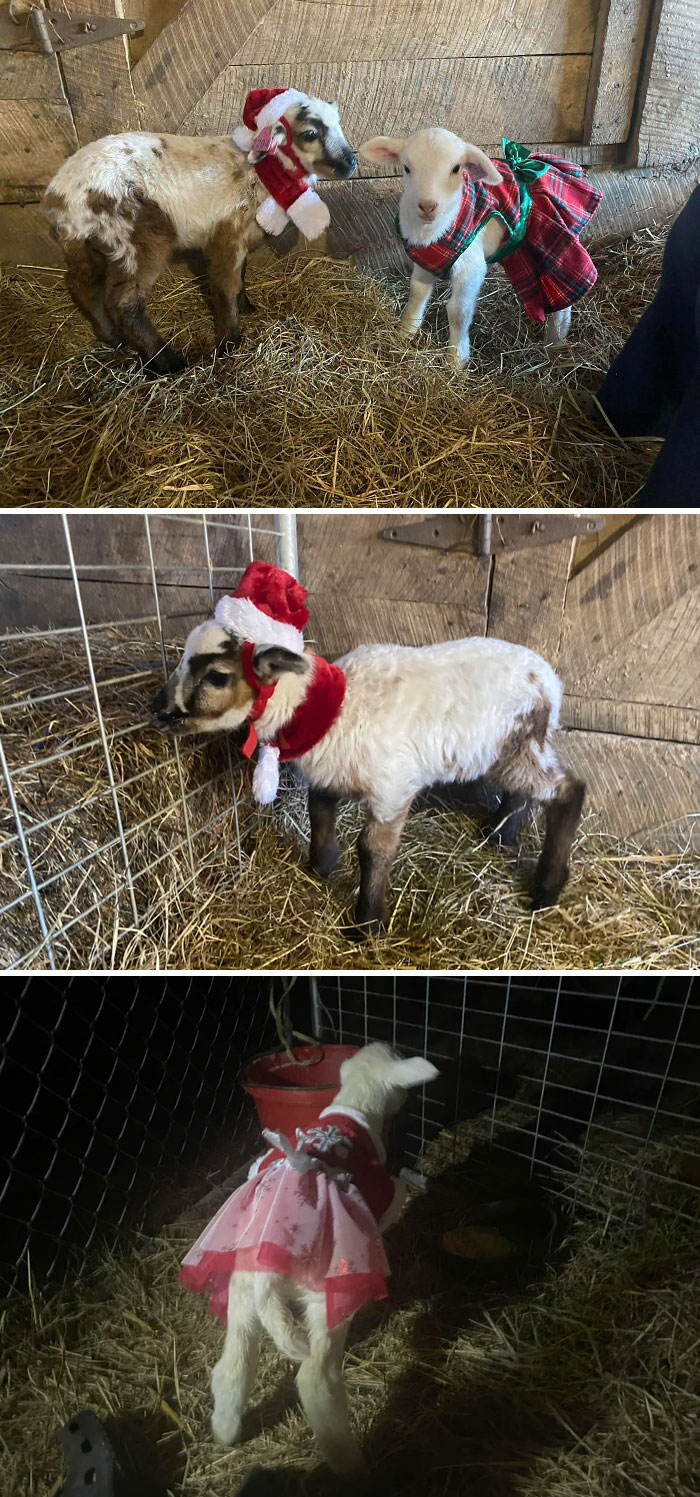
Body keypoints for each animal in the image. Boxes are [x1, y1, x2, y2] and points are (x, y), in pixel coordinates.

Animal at [41, 94, 356, 376]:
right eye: (310, 133)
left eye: (339, 124)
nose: (351, 162)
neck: (263, 173)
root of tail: (58, 198)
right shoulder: (229, 231)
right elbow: (226, 284)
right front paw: (230, 342)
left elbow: (242, 275)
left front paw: (247, 307)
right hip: (136, 237)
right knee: (124, 304)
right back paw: (168, 362)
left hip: (85, 244)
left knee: (81, 283)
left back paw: (112, 338)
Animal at [151, 620, 586, 935]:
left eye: (217, 677)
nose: (158, 707)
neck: (329, 707)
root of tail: (549, 680)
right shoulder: (329, 772)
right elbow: (319, 810)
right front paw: (321, 866)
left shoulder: (393, 787)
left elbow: (372, 850)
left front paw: (367, 923)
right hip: (511, 750)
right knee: (521, 793)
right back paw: (499, 836)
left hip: (519, 743)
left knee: (568, 790)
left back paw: (546, 889)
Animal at [179, 1043, 439, 1474]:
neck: (353, 1107)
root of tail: (270, 1271)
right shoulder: (386, 1193)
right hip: (319, 1298)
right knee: (315, 1379)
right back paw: (350, 1463)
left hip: (242, 1289)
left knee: (232, 1365)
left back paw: (225, 1430)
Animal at [360, 128, 601, 368]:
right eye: (407, 168)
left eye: (456, 169)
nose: (428, 206)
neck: (434, 229)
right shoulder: (426, 259)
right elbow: (416, 294)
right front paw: (404, 332)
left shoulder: (470, 267)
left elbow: (458, 311)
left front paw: (456, 360)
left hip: (554, 242)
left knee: (564, 293)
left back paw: (556, 341)